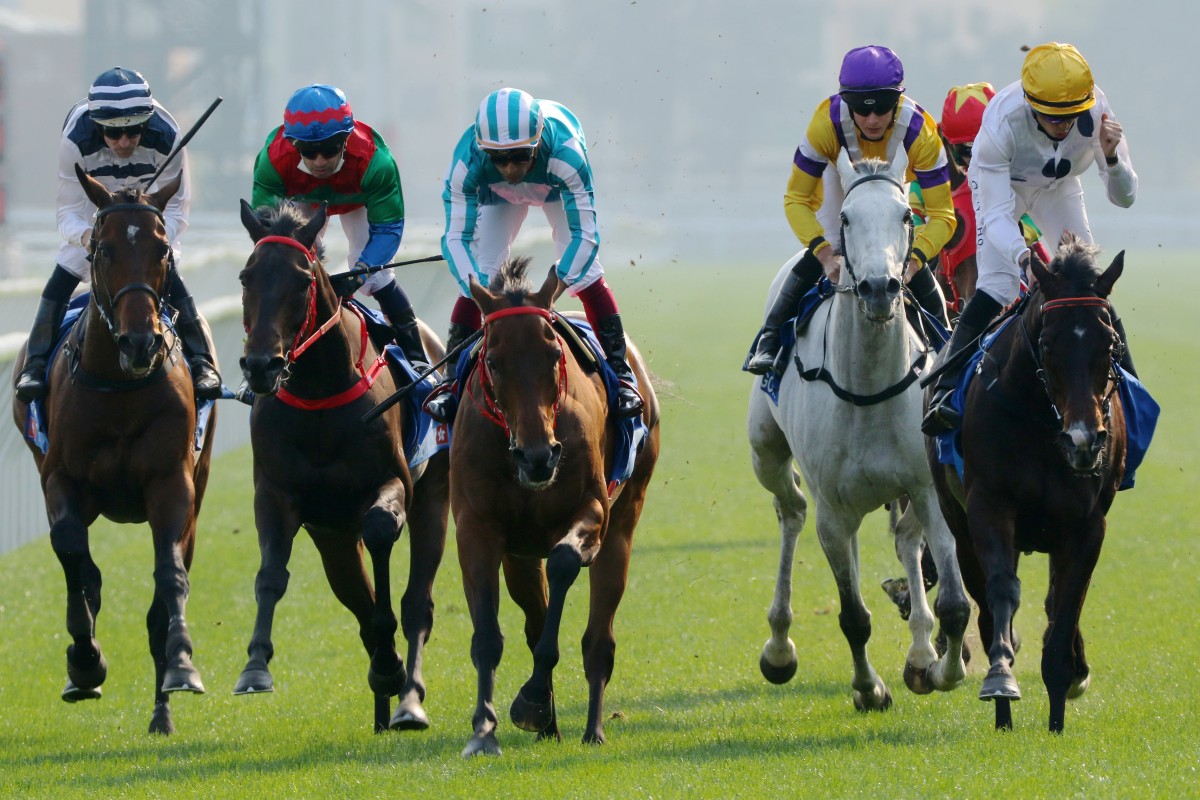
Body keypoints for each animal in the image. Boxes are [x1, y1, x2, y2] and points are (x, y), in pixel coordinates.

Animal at [9, 165, 216, 734]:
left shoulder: (172, 485)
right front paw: (85, 662)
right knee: (83, 568)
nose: (139, 343)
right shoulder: (60, 479)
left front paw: (182, 663)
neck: (120, 386)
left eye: (162, 249)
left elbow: (169, 576)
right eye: (102, 249)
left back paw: (162, 713)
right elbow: (73, 557)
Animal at [231, 199, 448, 734]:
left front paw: (391, 662)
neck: (318, 395)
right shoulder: (278, 495)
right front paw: (255, 666)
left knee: (418, 603)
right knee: (355, 593)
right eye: (246, 276)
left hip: (435, 494)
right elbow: (271, 574)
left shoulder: (393, 483)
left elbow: (380, 533)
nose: (262, 365)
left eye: (302, 280)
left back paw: (407, 700)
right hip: (331, 537)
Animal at [451, 257, 662, 758]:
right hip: (520, 556)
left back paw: (592, 728)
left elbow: (566, 561)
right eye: (493, 361)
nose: (538, 457)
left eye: (553, 355)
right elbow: (488, 635)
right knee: (534, 617)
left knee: (598, 639)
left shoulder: (593, 511)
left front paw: (530, 699)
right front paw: (484, 731)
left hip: (623, 525)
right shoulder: (477, 527)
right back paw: (549, 724)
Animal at [748, 149, 974, 714]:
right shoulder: (833, 509)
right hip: (767, 453)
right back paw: (779, 647)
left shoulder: (928, 486)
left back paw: (921, 651)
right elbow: (852, 615)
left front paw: (943, 668)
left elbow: (956, 603)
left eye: (906, 216)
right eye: (846, 219)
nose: (878, 287)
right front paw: (869, 688)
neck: (868, 388)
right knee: (792, 509)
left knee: (907, 539)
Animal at [926, 232, 1123, 734]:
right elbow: (1002, 590)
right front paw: (1001, 683)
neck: (1041, 418)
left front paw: (1057, 713)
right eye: (1048, 343)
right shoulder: (989, 507)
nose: (1083, 439)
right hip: (957, 522)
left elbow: (1068, 603)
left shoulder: (1088, 525)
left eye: (1110, 341)